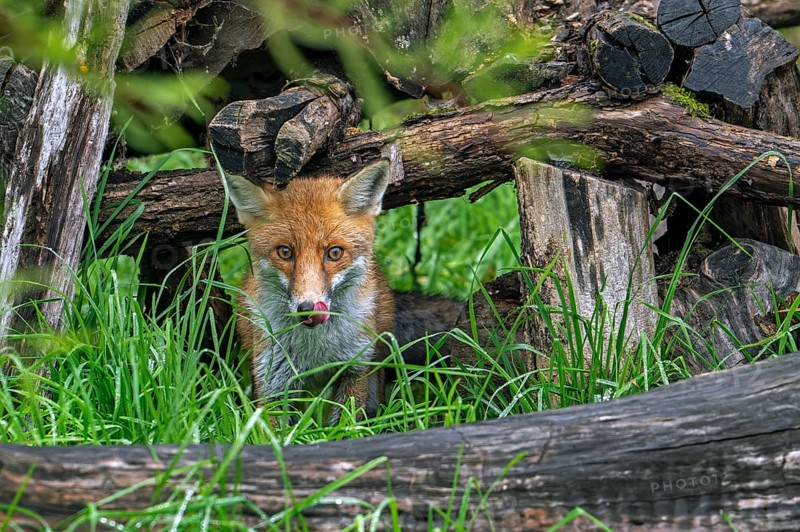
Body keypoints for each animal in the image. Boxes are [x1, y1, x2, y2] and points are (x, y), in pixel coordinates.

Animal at [227, 159, 428, 419]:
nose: (308, 308)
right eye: (284, 252)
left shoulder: (355, 367)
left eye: (334, 252)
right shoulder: (272, 379)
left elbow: (346, 422)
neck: (316, 352)